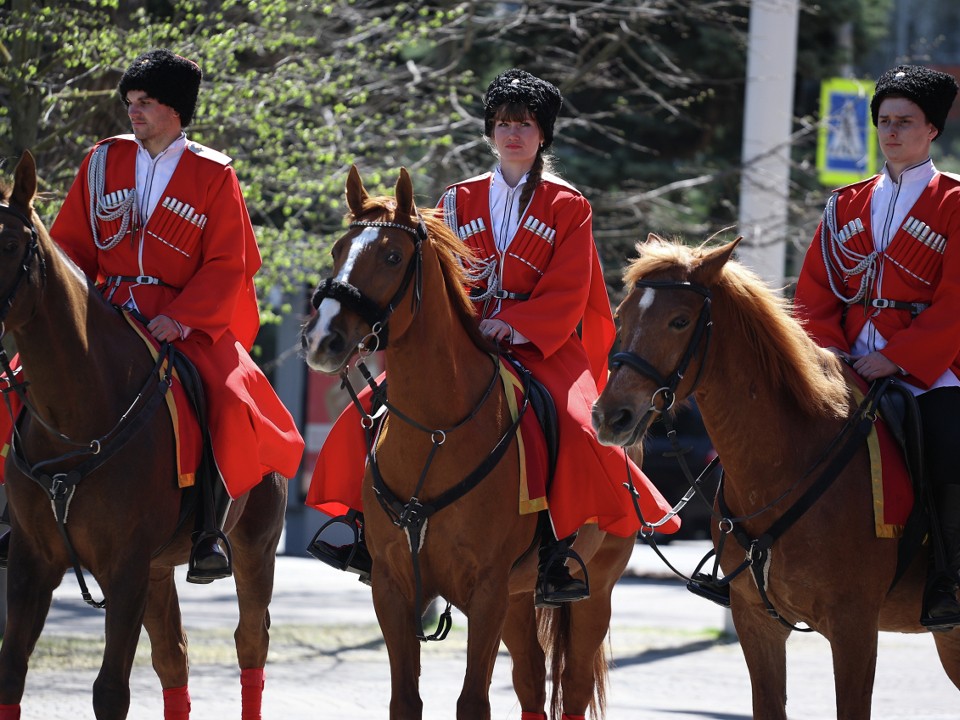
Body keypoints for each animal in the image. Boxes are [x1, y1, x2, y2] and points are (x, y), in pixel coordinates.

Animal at [0, 149, 286, 716]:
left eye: (11, 244)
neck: (73, 420)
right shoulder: (30, 561)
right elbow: (10, 676)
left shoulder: (125, 568)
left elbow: (111, 692)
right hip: (158, 570)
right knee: (174, 657)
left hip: (254, 549)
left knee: (250, 642)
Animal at [302, 163, 636, 720]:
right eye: (337, 249)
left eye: (392, 256)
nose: (321, 338)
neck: (436, 431)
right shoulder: (393, 587)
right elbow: (405, 699)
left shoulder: (487, 590)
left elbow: (473, 702)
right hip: (521, 600)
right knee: (531, 679)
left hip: (596, 591)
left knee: (572, 686)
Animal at [592, 235, 960, 716]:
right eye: (621, 316)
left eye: (679, 321)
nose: (610, 416)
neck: (783, 464)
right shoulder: (757, 624)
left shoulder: (854, 627)